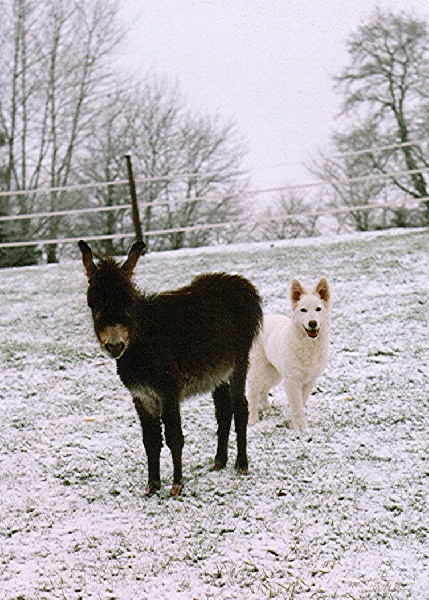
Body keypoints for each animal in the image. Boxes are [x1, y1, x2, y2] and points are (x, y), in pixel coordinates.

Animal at [244, 278, 332, 432]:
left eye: (318, 309)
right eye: (303, 310)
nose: (312, 323)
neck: (308, 346)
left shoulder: (309, 380)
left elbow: (301, 402)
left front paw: (293, 423)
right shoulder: (292, 380)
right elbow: (296, 404)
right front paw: (299, 427)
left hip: (274, 374)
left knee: (263, 391)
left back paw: (268, 409)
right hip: (257, 372)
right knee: (253, 396)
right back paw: (253, 420)